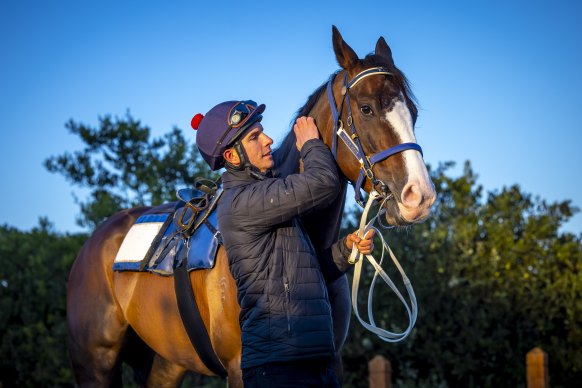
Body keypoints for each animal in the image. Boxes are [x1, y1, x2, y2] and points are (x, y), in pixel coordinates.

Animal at [66, 25, 436, 386]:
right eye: (366, 109)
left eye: (414, 113)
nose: (419, 196)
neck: (312, 245)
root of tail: (97, 240)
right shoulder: (240, 368)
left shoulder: (329, 364)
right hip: (95, 367)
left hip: (165, 365)